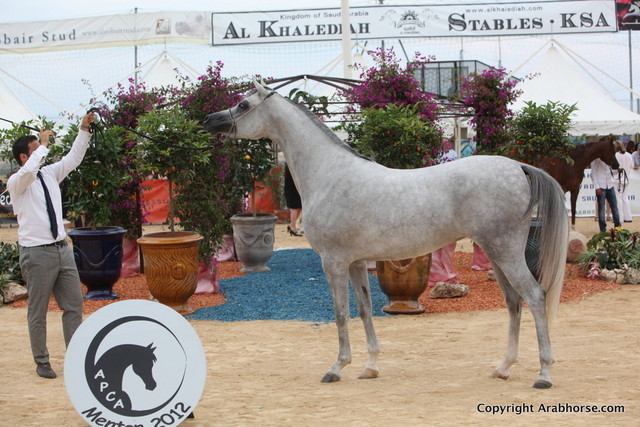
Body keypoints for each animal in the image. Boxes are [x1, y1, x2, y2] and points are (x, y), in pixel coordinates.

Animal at [203, 81, 569, 389]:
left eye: (243, 103)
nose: (209, 120)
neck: (330, 174)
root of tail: (519, 167)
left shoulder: (333, 262)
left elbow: (340, 313)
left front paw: (336, 368)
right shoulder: (355, 263)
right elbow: (364, 310)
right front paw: (370, 367)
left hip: (505, 251)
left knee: (535, 297)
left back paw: (544, 374)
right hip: (496, 252)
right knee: (513, 302)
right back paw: (503, 368)